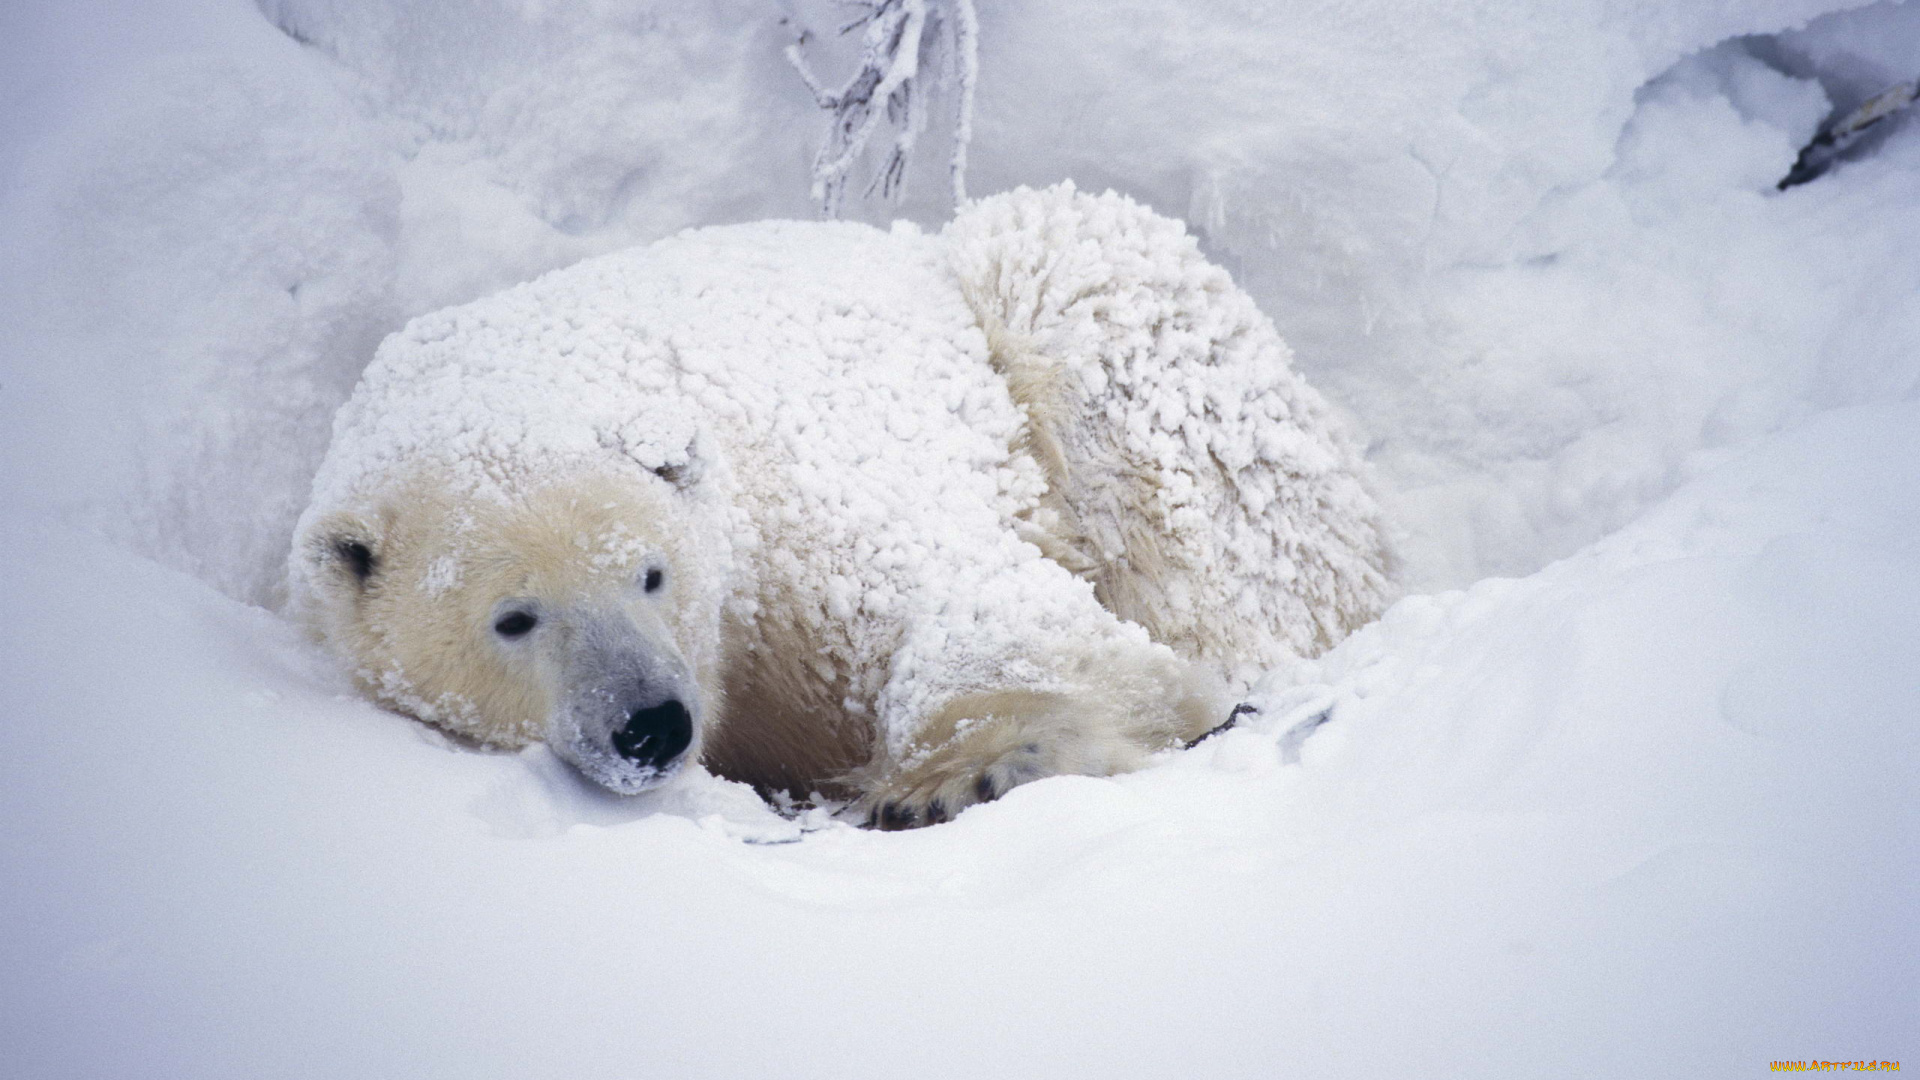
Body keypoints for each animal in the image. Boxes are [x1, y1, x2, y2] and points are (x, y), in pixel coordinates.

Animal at [288, 182, 1397, 822]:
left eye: (651, 574)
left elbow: (987, 603)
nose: (653, 725)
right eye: (514, 618)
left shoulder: (805, 511)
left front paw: (968, 773)